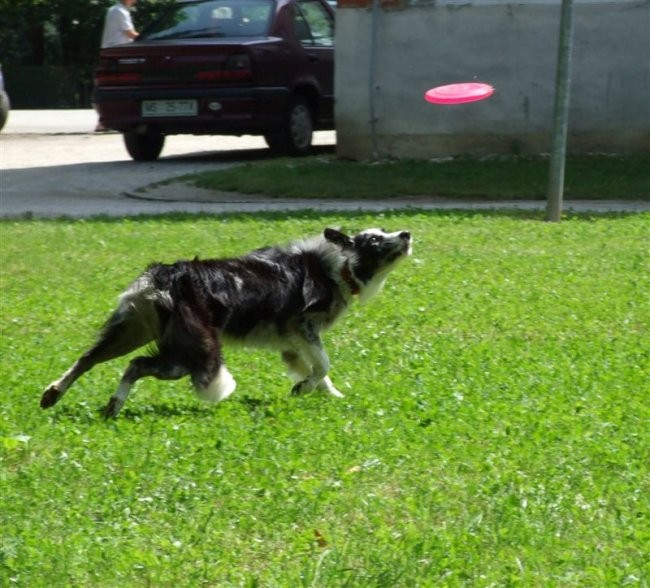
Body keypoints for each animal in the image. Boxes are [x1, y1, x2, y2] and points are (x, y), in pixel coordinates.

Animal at [40, 226, 410, 418]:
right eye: (375, 239)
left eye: (384, 231)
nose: (405, 233)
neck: (341, 266)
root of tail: (165, 276)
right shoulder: (304, 327)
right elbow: (322, 365)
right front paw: (304, 389)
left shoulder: (292, 344)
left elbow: (319, 372)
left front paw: (330, 395)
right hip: (190, 354)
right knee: (137, 364)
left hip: (131, 330)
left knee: (91, 359)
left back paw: (66, 396)